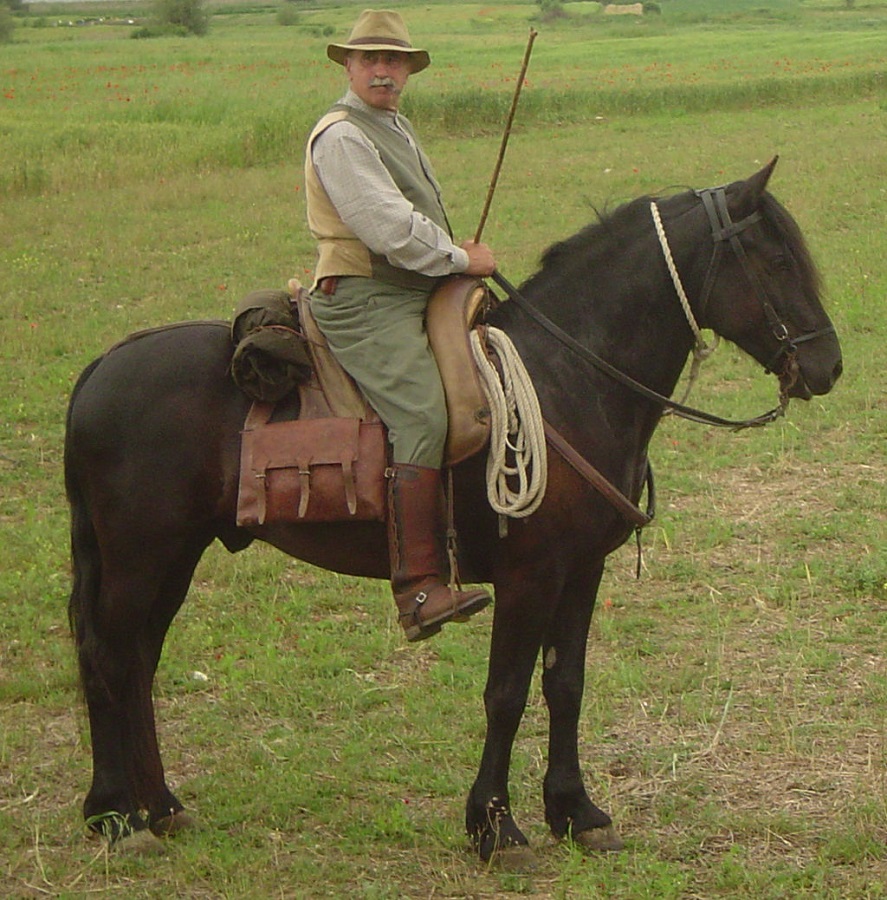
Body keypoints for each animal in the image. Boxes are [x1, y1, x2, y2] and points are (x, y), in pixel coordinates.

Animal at [66, 163, 844, 864]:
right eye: (775, 259)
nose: (829, 366)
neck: (567, 377)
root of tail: (102, 366)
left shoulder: (582, 571)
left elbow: (565, 684)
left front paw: (576, 813)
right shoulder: (530, 576)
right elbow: (506, 693)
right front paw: (495, 828)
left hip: (174, 558)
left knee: (136, 663)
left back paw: (157, 806)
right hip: (142, 559)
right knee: (111, 658)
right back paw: (116, 818)